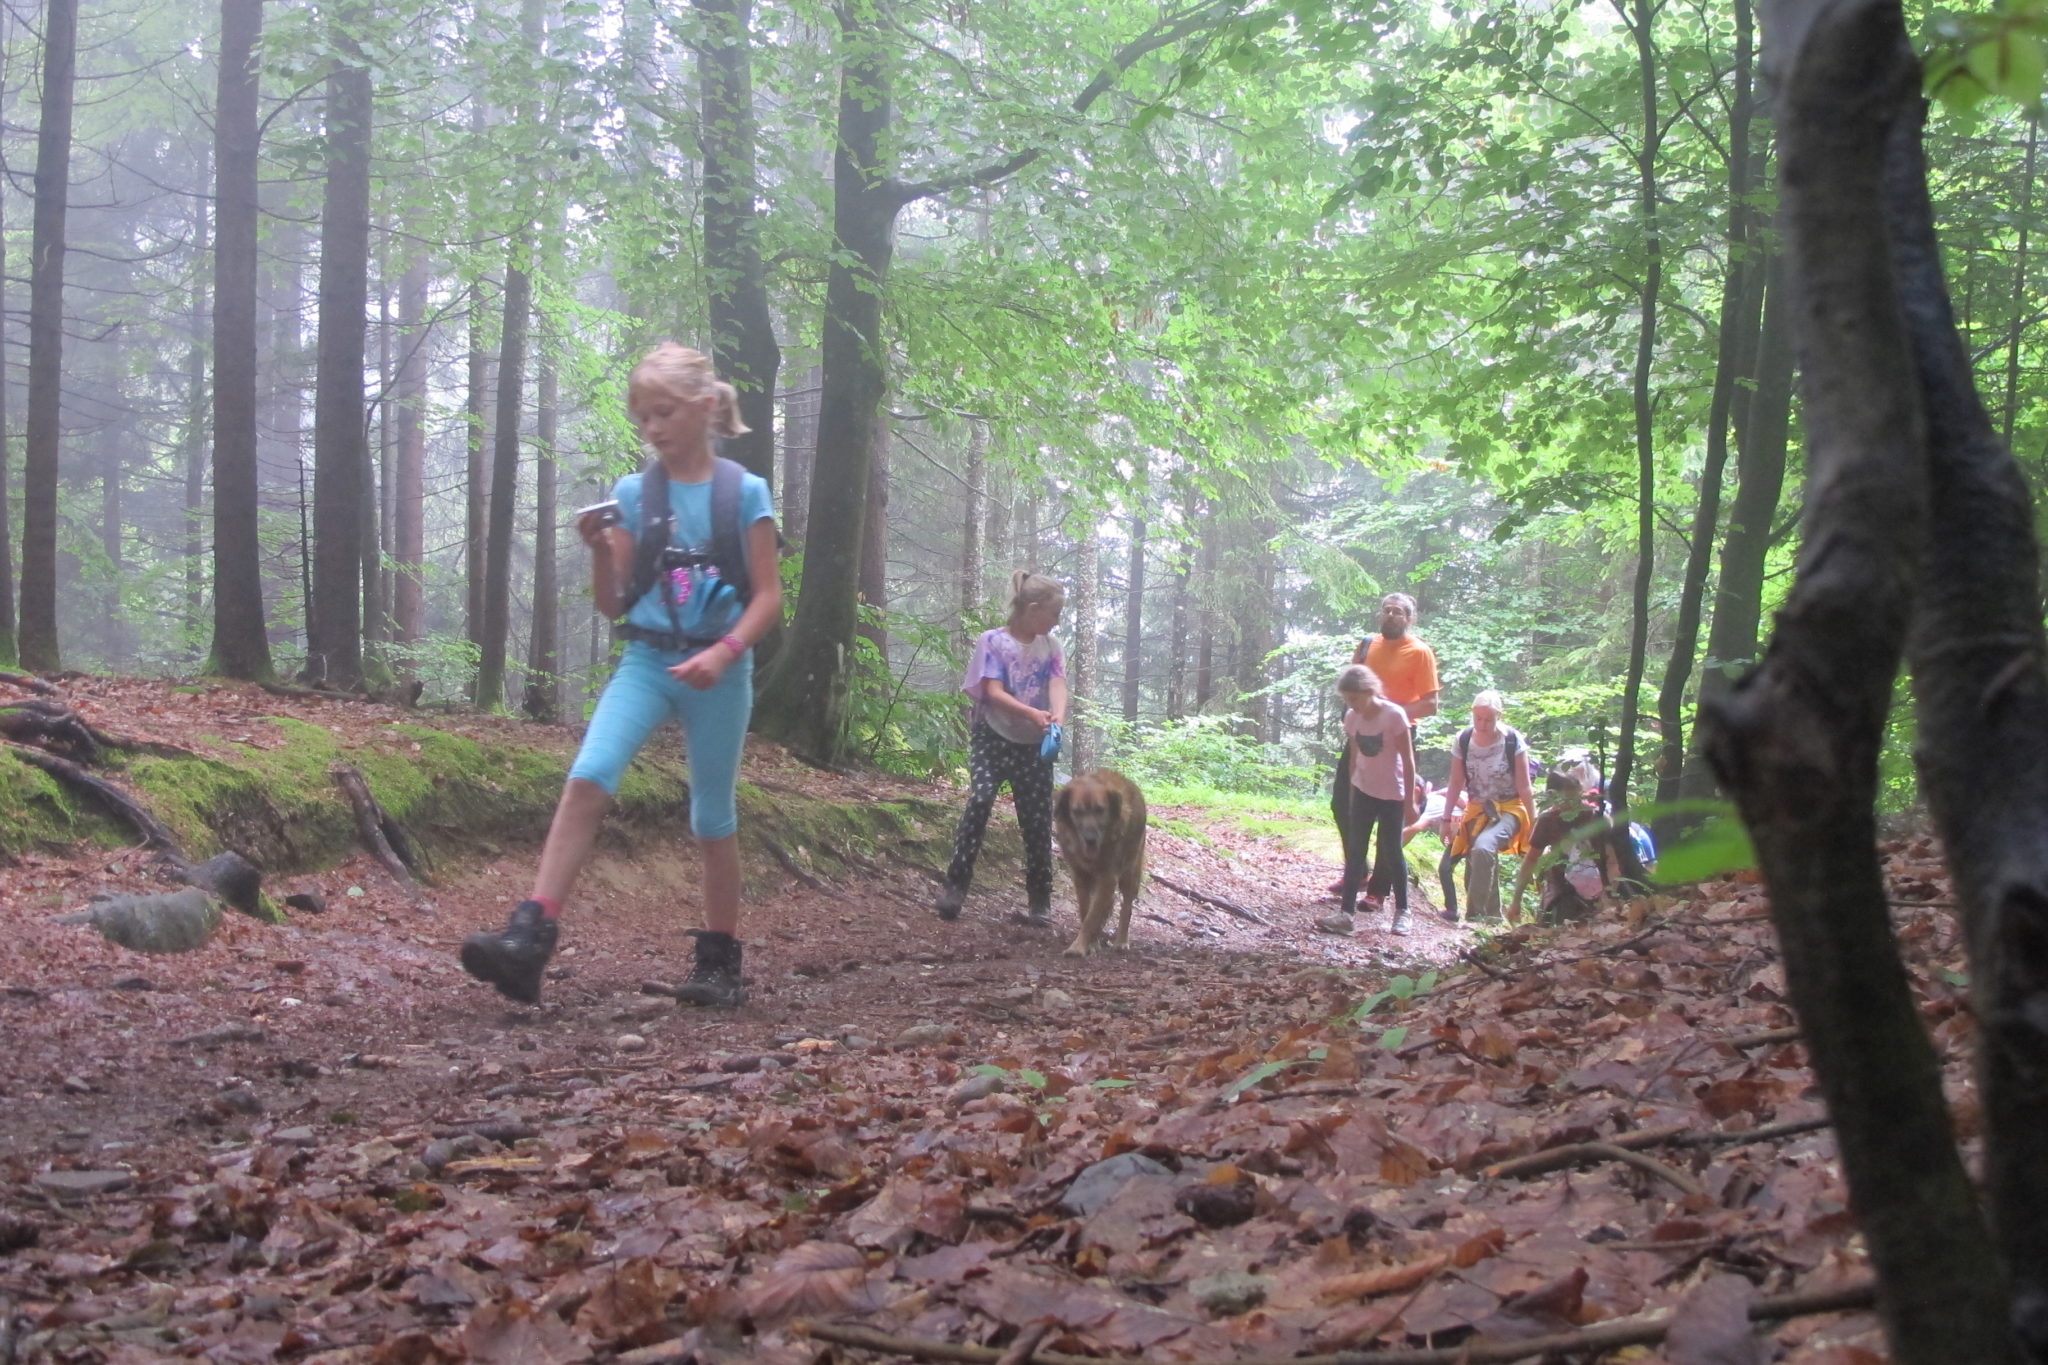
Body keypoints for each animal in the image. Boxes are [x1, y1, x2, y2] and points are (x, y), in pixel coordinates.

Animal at [1048, 773, 1146, 957]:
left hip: (1131, 873)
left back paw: (1121, 941)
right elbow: (1086, 911)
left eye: (1100, 810)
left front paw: (1078, 947)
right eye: (1077, 812)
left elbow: (1092, 917)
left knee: (1126, 907)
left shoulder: (1108, 878)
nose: (1090, 839)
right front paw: (1091, 944)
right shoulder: (1080, 875)